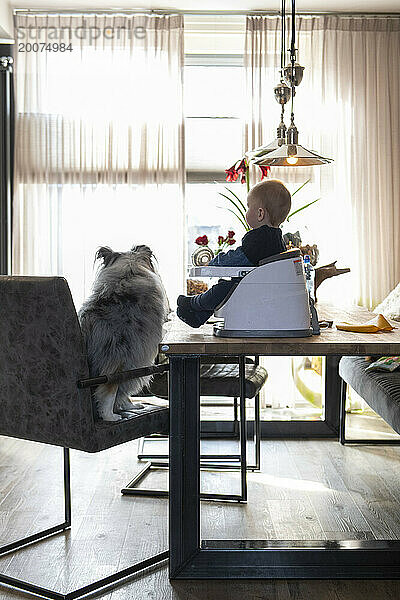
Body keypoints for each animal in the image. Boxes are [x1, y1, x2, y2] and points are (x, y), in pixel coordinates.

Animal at [79, 244, 170, 422]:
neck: (129, 271)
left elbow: (123, 391)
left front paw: (131, 406)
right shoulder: (128, 356)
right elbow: (115, 389)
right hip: (117, 359)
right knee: (109, 388)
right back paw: (110, 416)